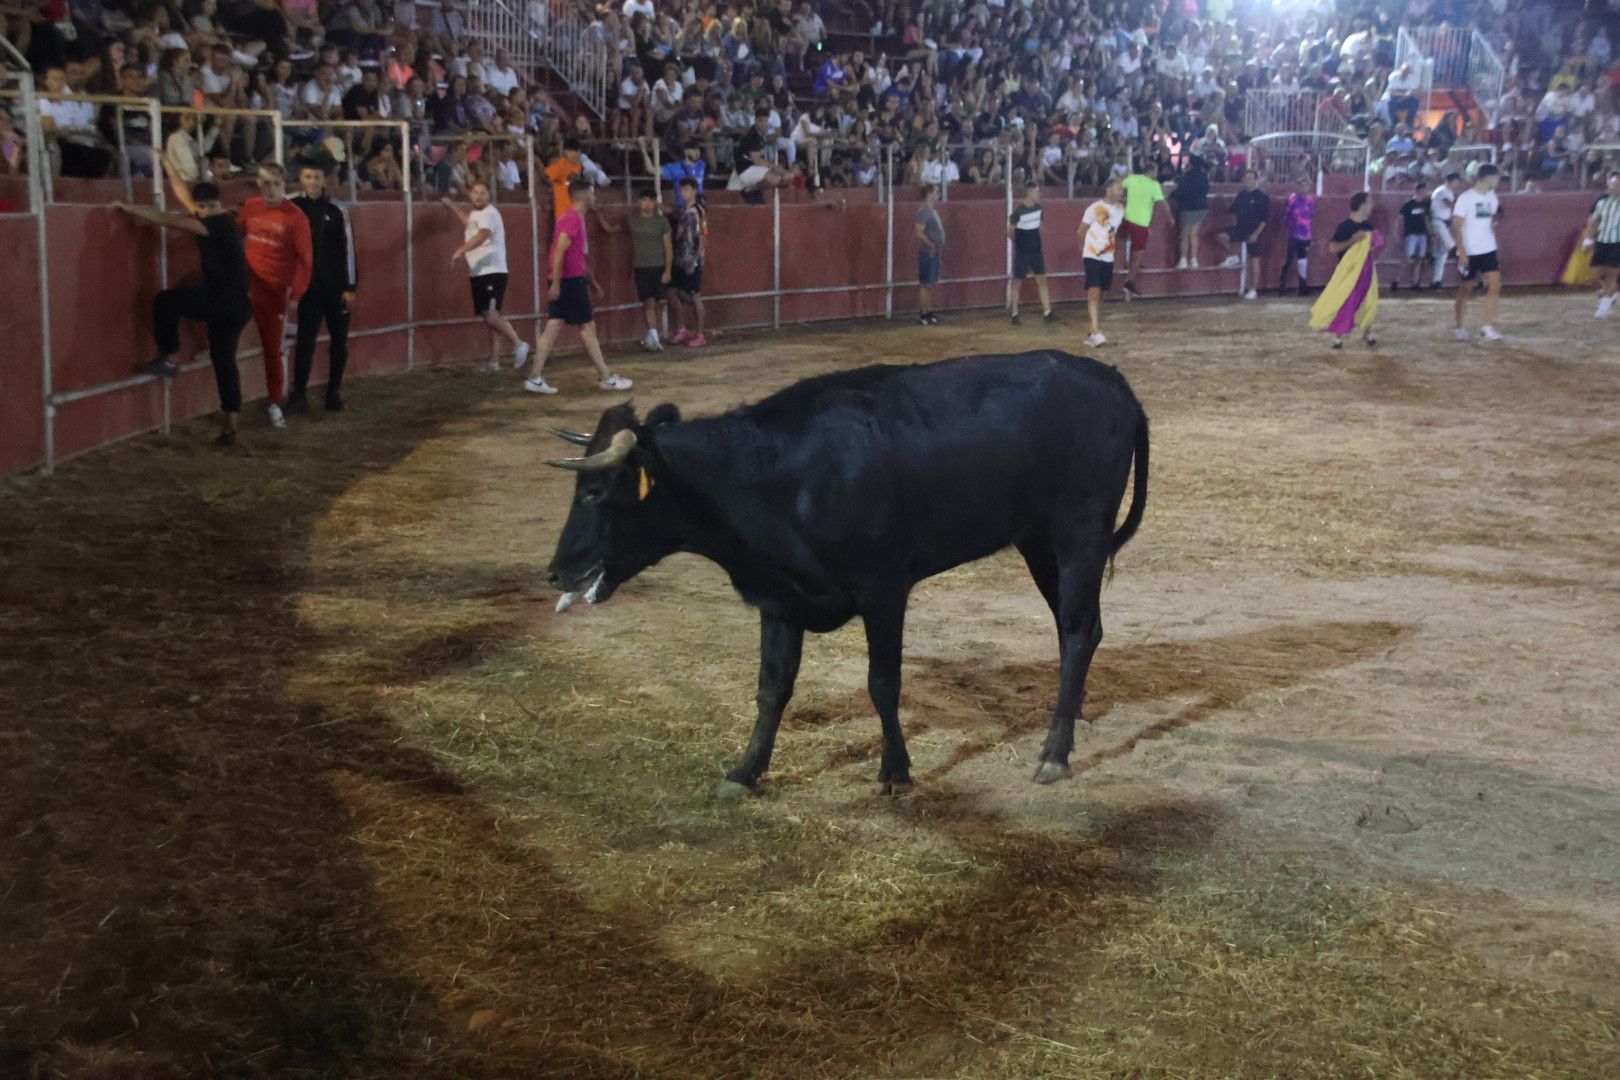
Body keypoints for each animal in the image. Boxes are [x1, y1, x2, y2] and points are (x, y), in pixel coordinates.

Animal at [550, 351, 1146, 799]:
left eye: (595, 492)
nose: (556, 572)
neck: (778, 475)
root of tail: (1109, 379)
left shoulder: (883, 590)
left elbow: (882, 683)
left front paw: (895, 771)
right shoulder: (780, 600)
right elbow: (771, 688)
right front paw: (745, 772)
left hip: (1078, 535)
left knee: (1077, 629)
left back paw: (1053, 754)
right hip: (1038, 542)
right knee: (1077, 629)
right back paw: (1073, 718)